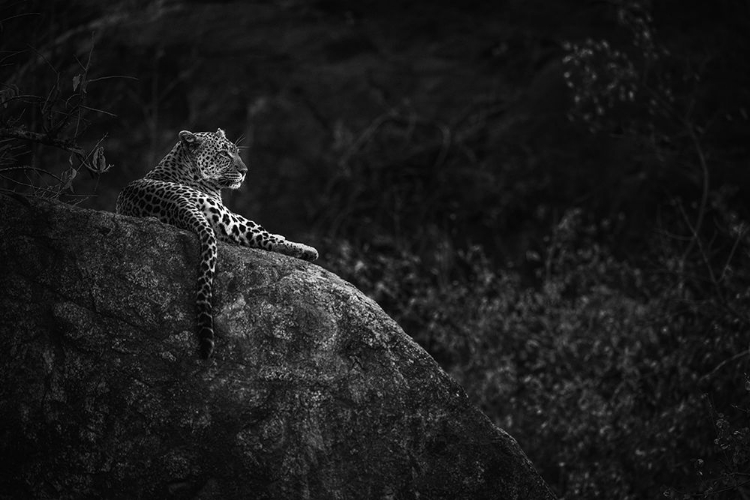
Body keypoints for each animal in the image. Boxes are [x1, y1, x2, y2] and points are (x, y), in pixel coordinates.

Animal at [117, 127, 320, 358]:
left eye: (236, 152)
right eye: (224, 154)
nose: (245, 171)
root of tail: (176, 203)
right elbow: (261, 231)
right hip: (227, 215)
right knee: (262, 237)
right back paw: (306, 250)